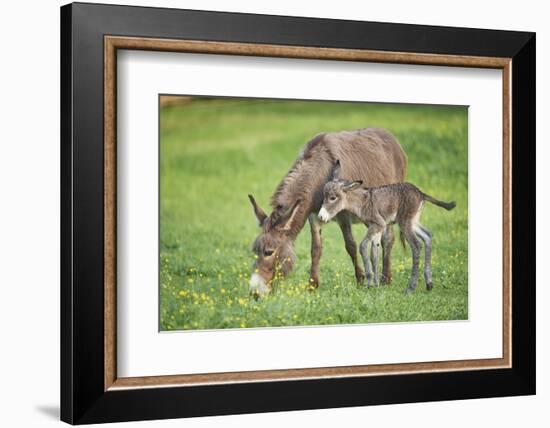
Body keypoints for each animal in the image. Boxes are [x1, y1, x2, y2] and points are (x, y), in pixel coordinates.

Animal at [320, 162, 458, 292]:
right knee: (428, 236)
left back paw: (410, 288)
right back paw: (429, 283)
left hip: (405, 223)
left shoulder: (378, 224)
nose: (321, 216)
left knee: (416, 245)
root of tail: (420, 193)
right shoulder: (377, 227)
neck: (362, 202)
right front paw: (375, 285)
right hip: (413, 221)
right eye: (324, 197)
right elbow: (374, 253)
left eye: (333, 198)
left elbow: (363, 246)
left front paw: (369, 282)